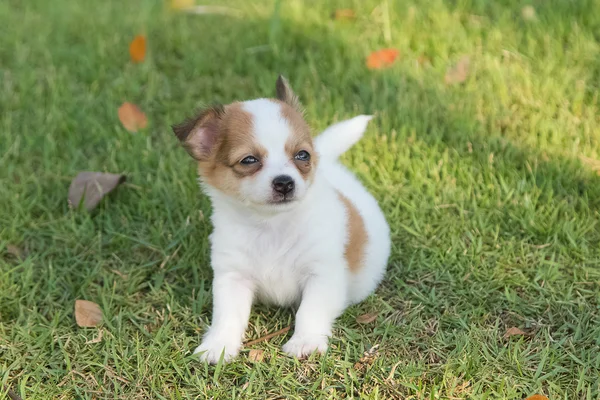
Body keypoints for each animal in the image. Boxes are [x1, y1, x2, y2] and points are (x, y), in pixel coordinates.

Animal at [171, 75, 392, 362]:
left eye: (302, 155)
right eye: (249, 160)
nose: (285, 183)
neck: (272, 225)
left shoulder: (322, 274)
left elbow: (310, 311)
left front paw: (305, 342)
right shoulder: (232, 277)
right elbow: (227, 316)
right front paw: (218, 345)